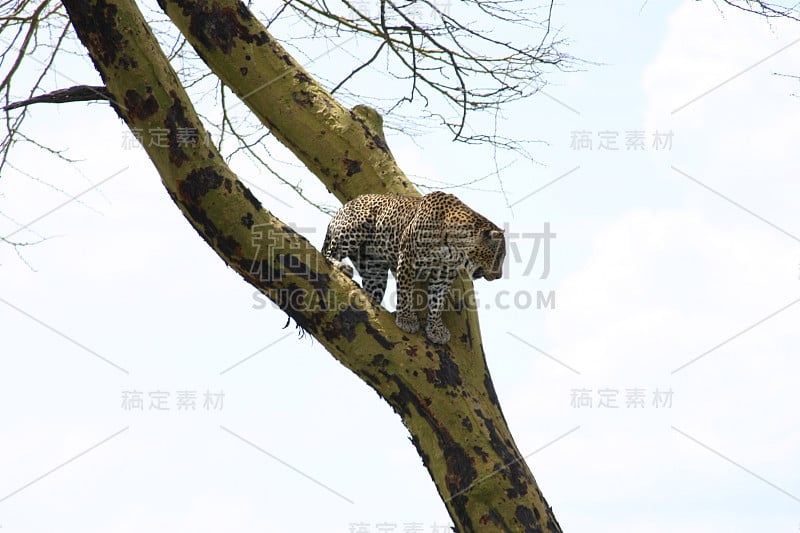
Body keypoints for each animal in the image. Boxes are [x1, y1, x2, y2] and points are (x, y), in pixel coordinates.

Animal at [320, 191, 504, 344]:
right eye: (498, 257)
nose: (499, 276)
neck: (454, 247)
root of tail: (343, 207)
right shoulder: (408, 258)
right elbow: (405, 292)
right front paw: (406, 319)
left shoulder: (444, 275)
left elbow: (437, 302)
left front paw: (436, 329)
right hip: (354, 227)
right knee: (327, 251)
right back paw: (340, 265)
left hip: (374, 267)